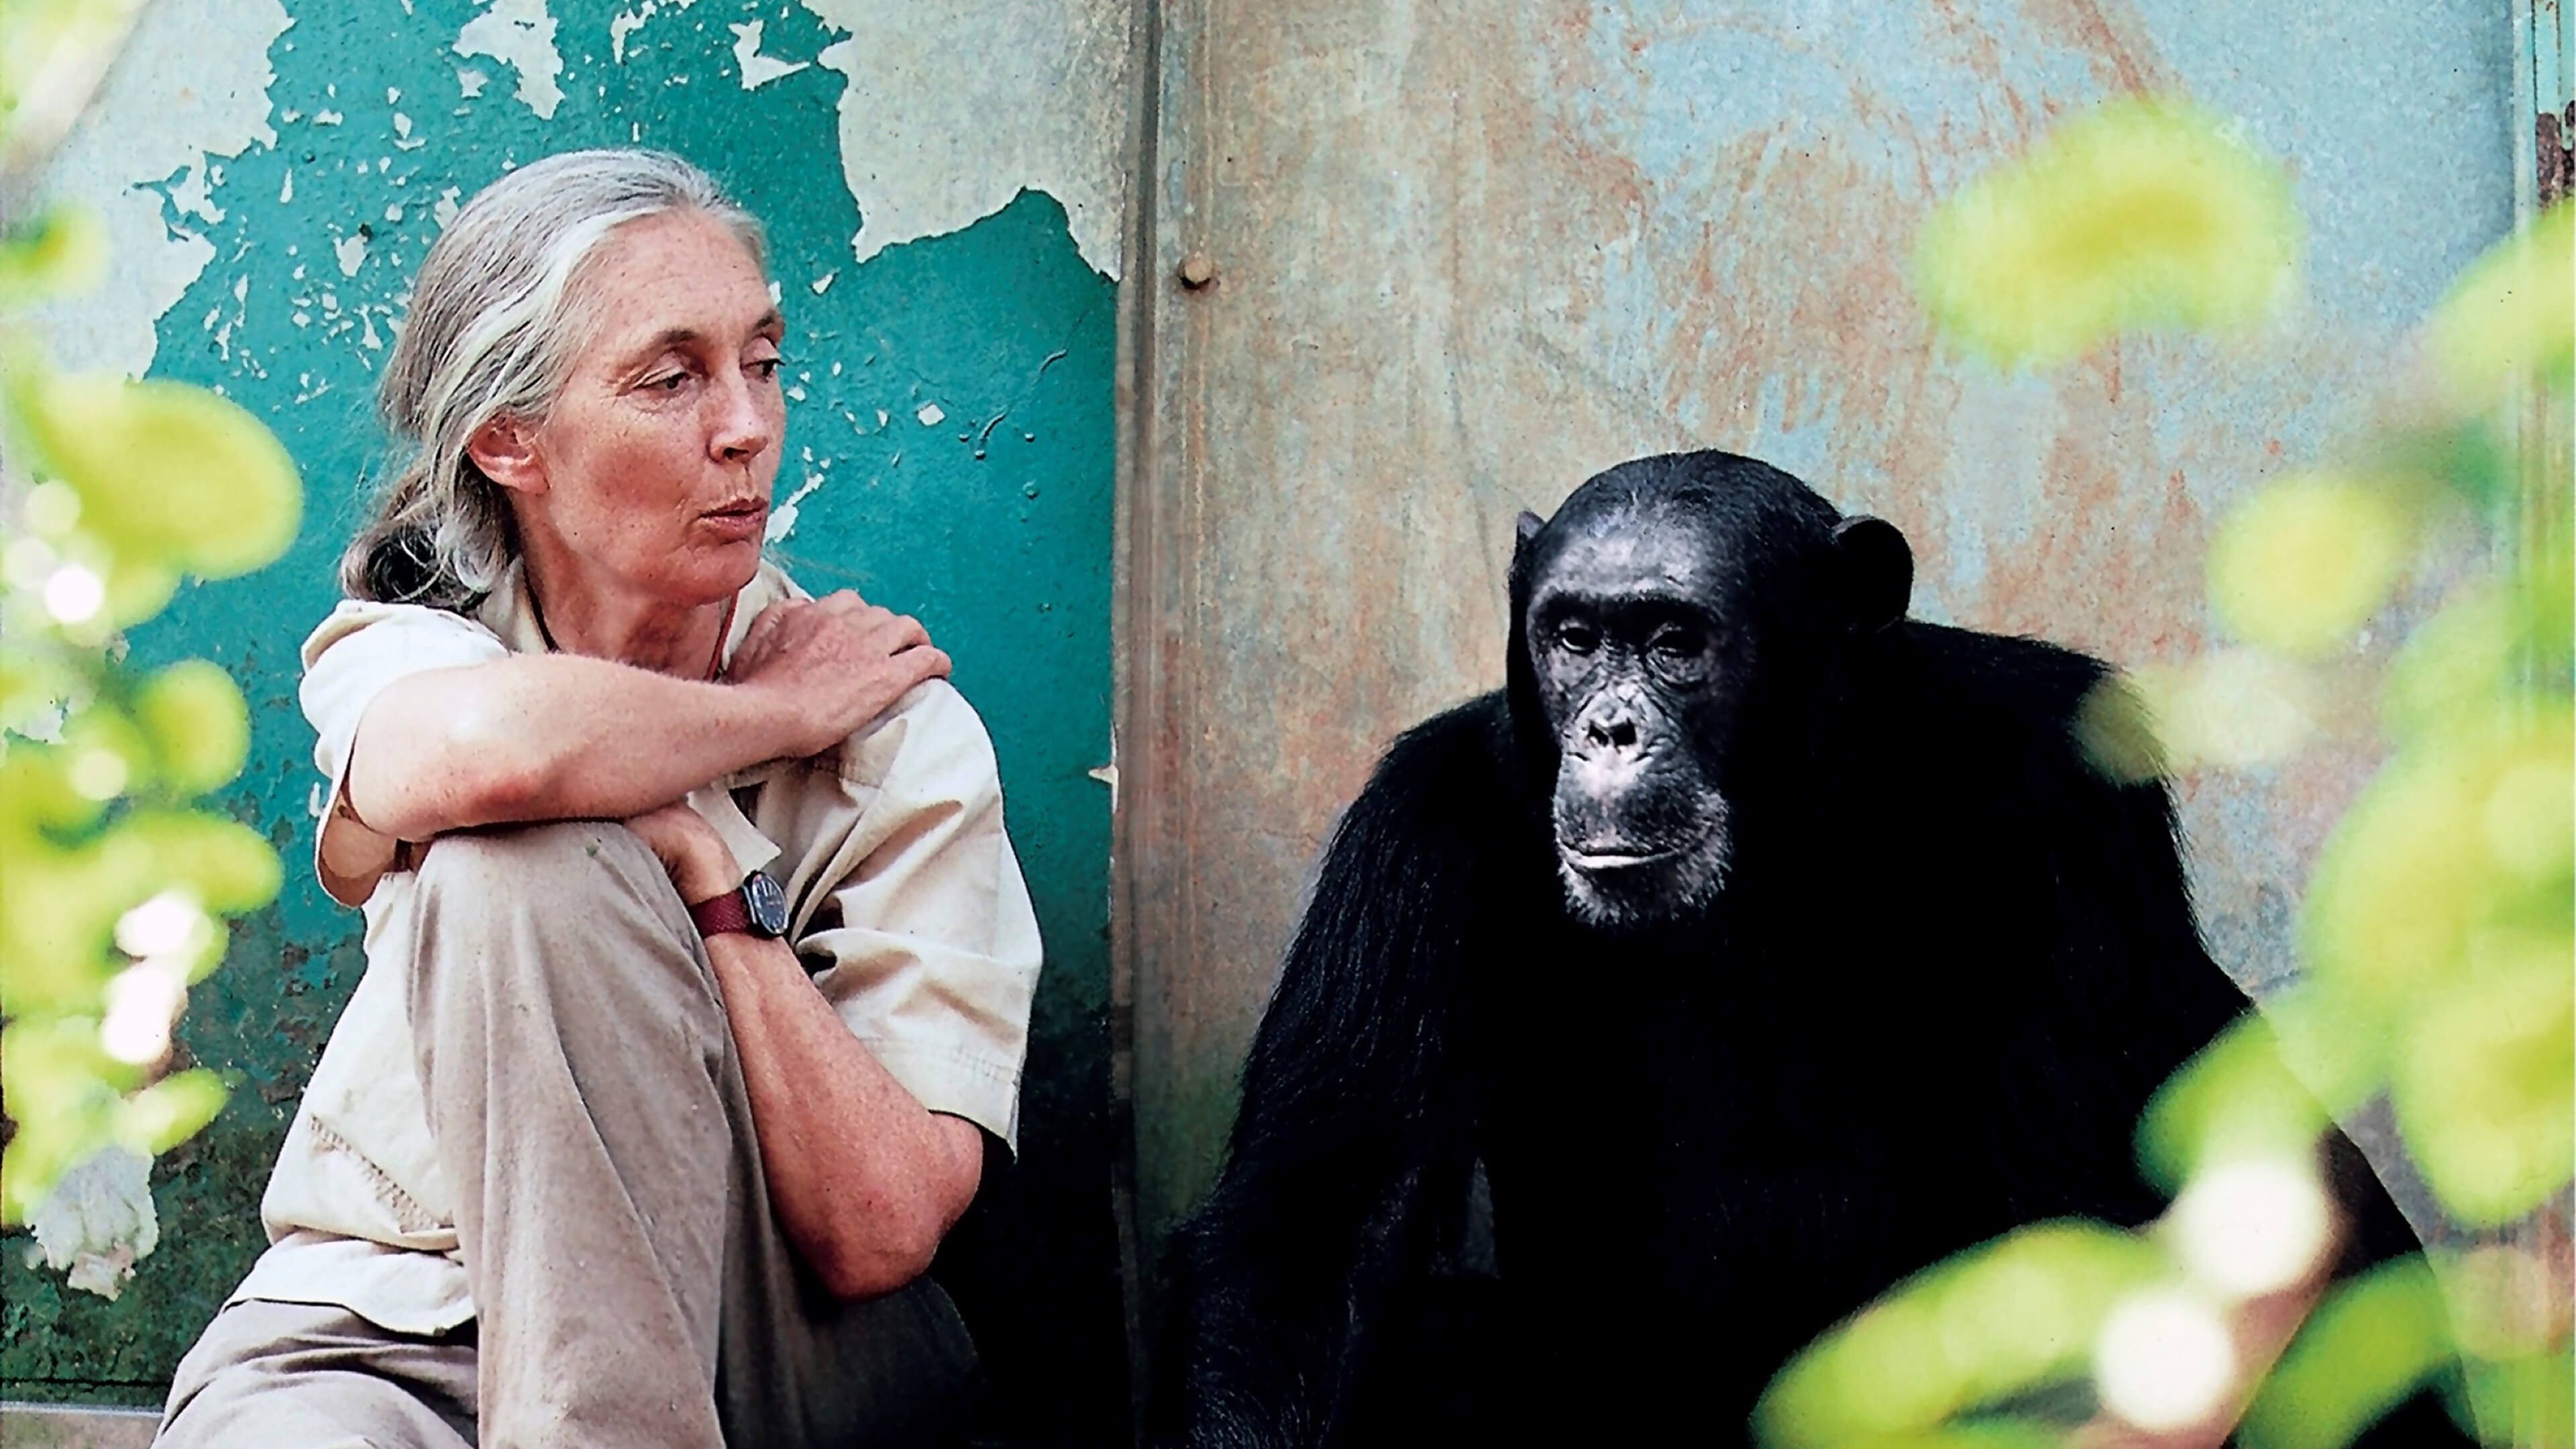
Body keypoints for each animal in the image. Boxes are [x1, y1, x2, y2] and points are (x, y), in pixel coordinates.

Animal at [1154, 448, 2452, 1433]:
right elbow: (1318, 1237)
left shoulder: (2072, 795)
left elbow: (2099, 1208)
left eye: (1674, 641)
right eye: (1572, 637)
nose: (1611, 729)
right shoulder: (1415, 840)